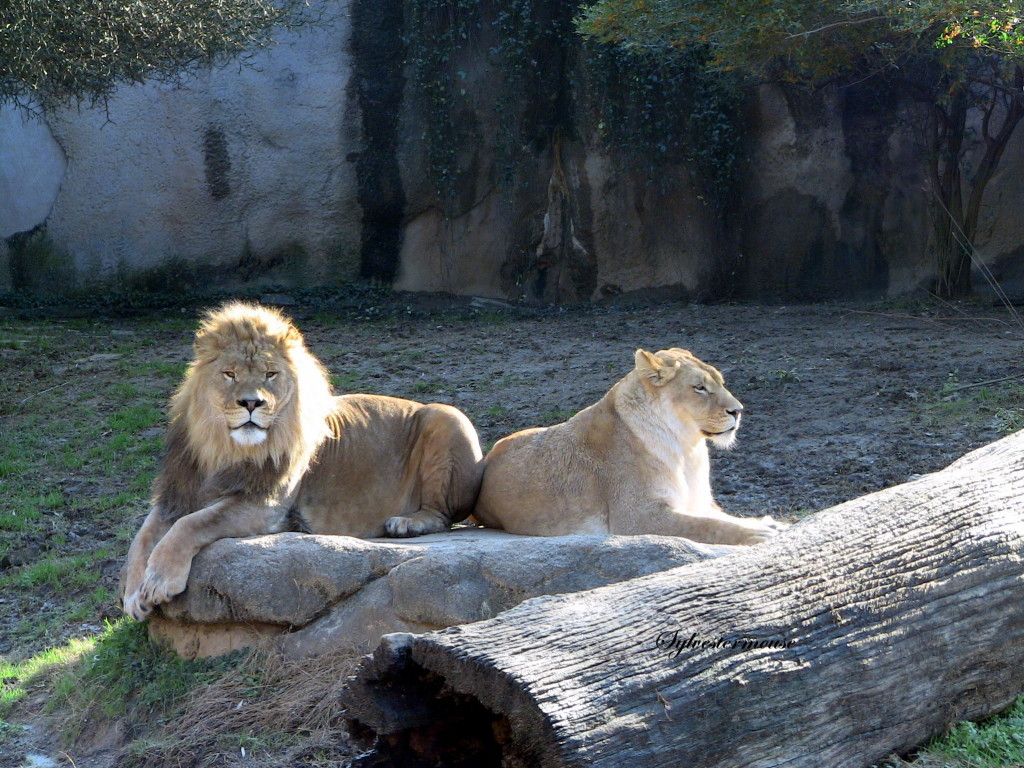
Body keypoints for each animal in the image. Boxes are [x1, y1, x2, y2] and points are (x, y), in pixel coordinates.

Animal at [120, 303, 483, 622]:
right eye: (229, 374)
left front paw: (159, 581)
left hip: (448, 417)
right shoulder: (175, 495)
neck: (224, 449)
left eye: (270, 374)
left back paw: (407, 524)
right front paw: (134, 594)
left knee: (442, 516)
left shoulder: (265, 504)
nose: (251, 403)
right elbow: (141, 538)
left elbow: (192, 523)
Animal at [471, 348, 782, 548]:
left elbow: (723, 517)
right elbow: (707, 525)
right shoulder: (636, 516)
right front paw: (759, 536)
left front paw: (767, 523)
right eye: (699, 388)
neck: (687, 447)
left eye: (721, 382)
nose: (738, 411)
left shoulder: (698, 502)